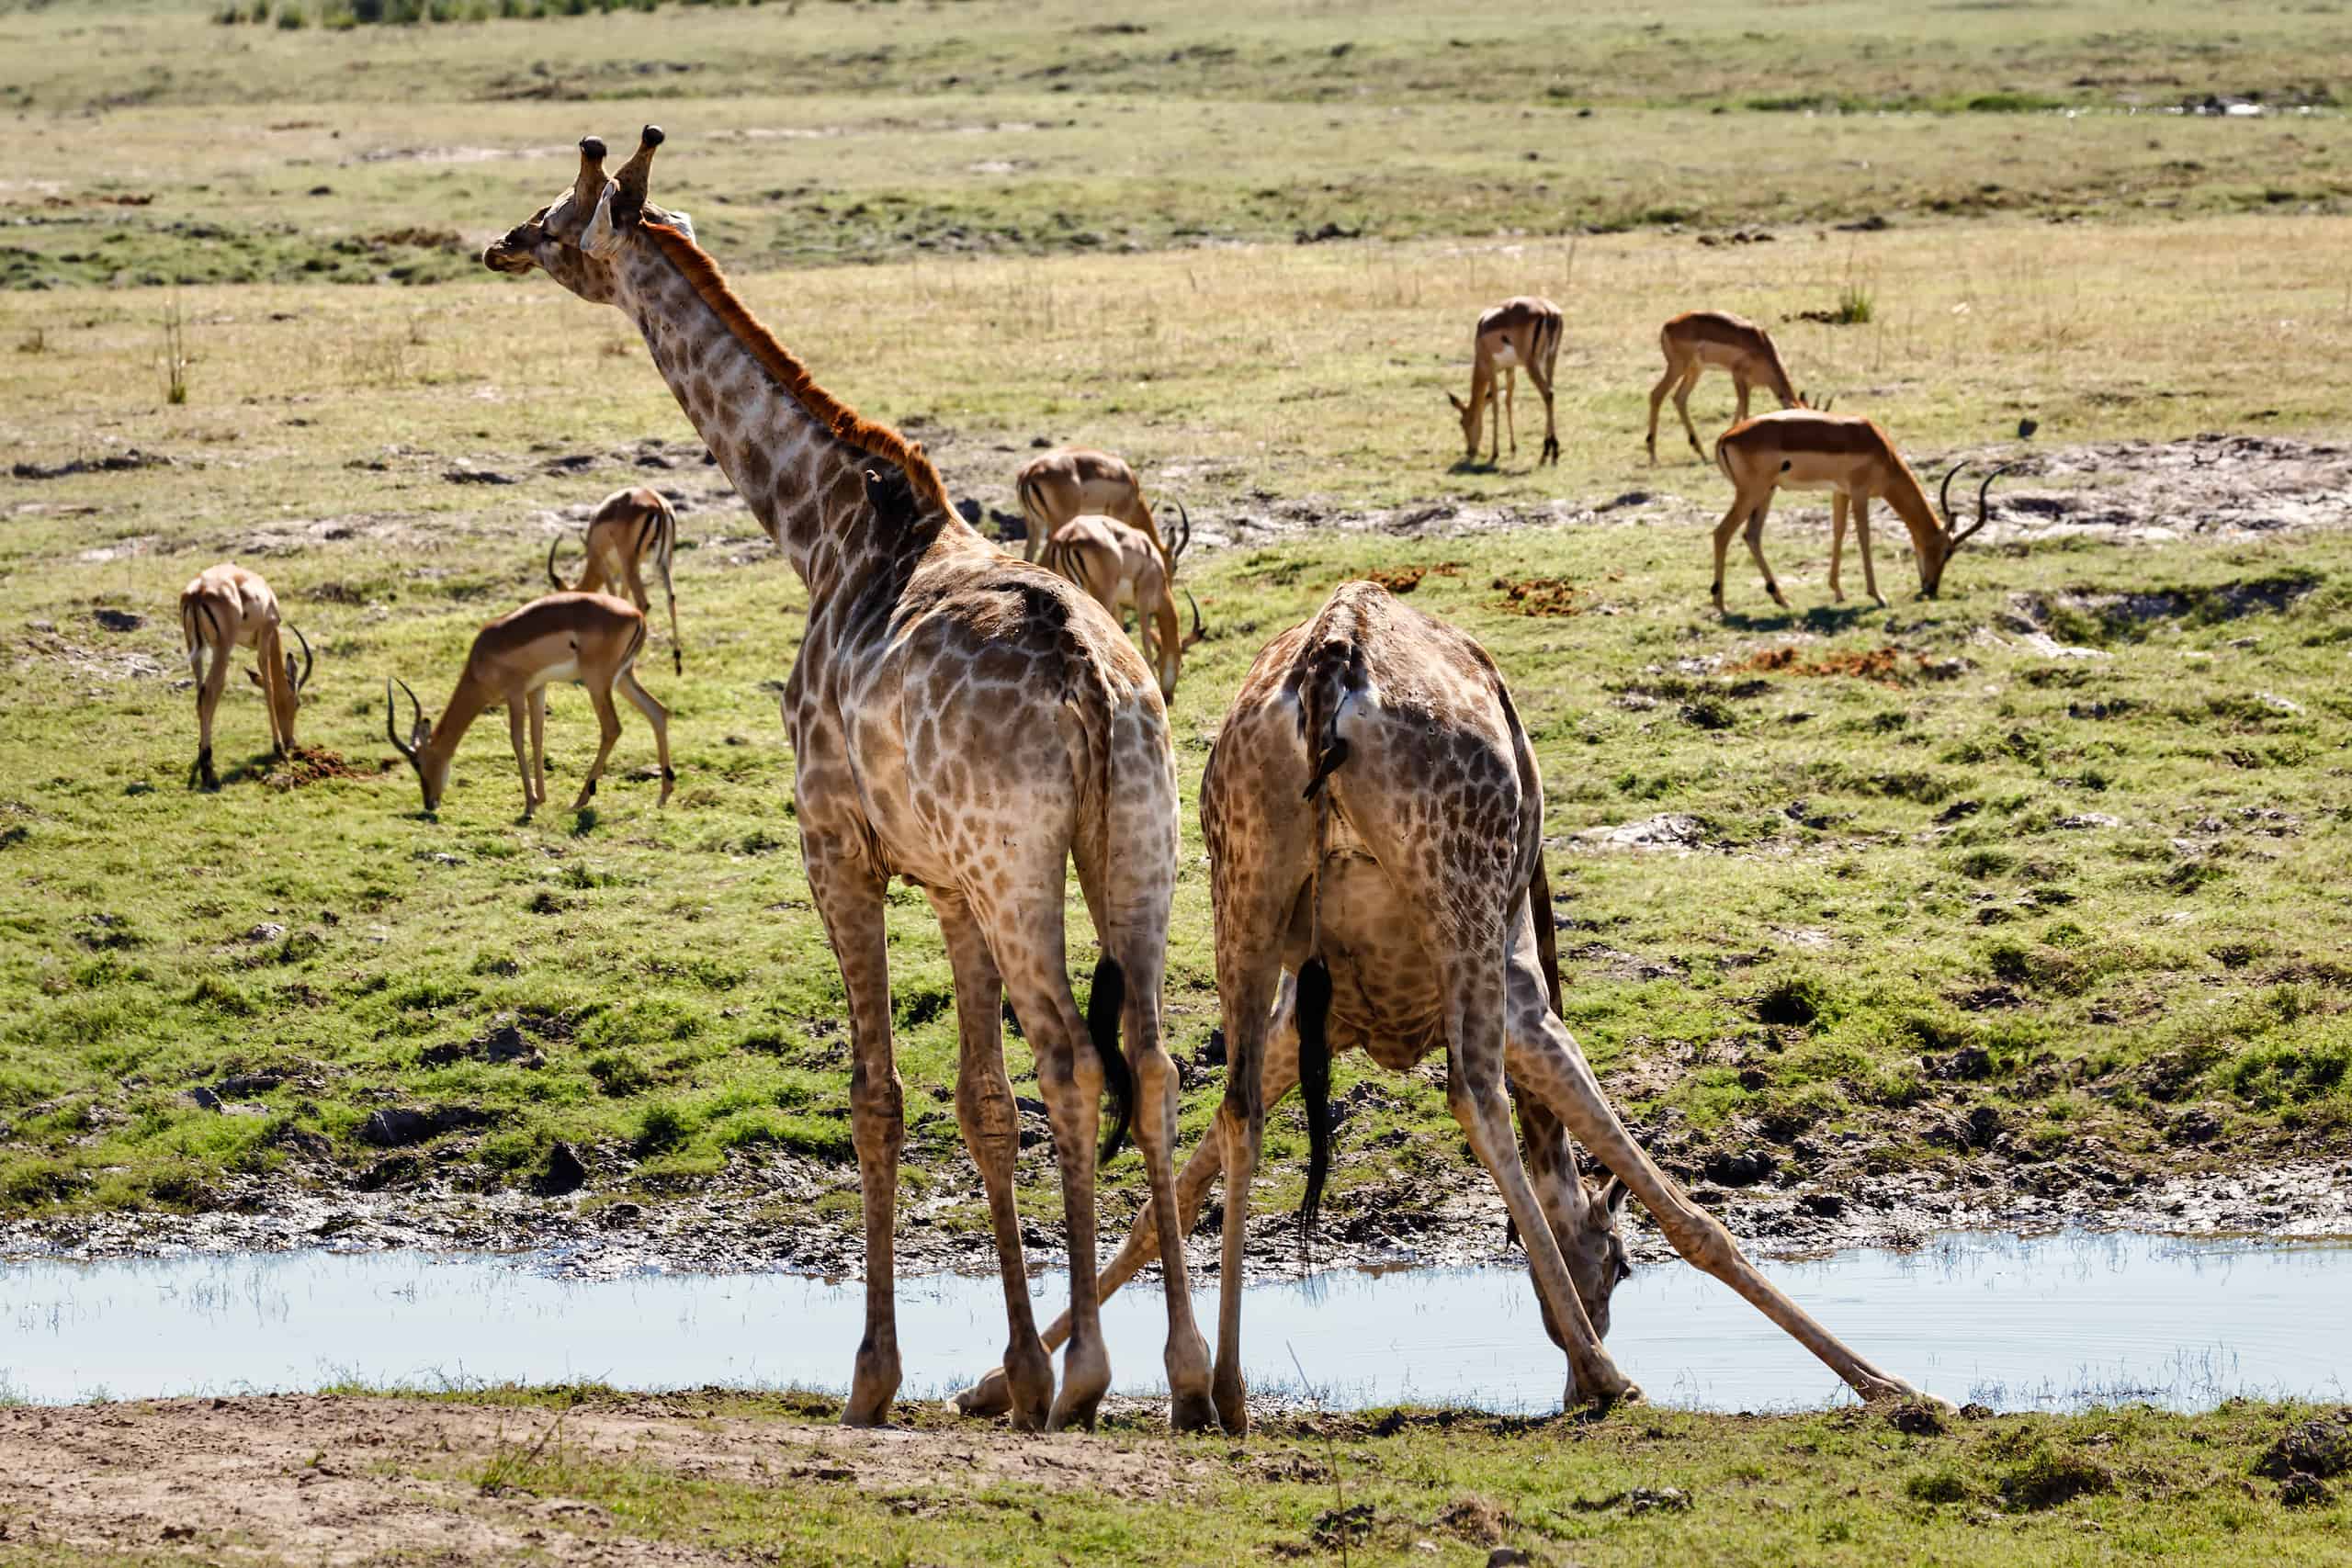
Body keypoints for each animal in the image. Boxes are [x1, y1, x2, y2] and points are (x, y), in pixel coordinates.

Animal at [480, 129, 1213, 1438]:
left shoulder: (837, 848)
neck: (820, 532)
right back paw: (1183, 1375)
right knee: (1156, 1062)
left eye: (561, 213)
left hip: (1025, 863)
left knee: (1075, 1060)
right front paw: (1011, 1373)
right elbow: (979, 1102)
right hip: (1140, 843)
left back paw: (1091, 1374)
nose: (500, 243)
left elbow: (879, 1095)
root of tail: (1094, 684)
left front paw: (876, 1378)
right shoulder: (948, 883)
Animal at [964, 582, 1938, 1429]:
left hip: (1238, 886)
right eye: (1620, 1266)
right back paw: (1609, 1374)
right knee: (1476, 1094)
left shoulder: (1306, 1021)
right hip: (1459, 906)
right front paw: (1889, 1385)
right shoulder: (1525, 1001)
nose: (1571, 1375)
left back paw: (1232, 1391)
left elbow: (1177, 1184)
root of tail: (1331, 668)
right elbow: (1684, 1211)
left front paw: (995, 1384)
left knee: (1236, 1106)